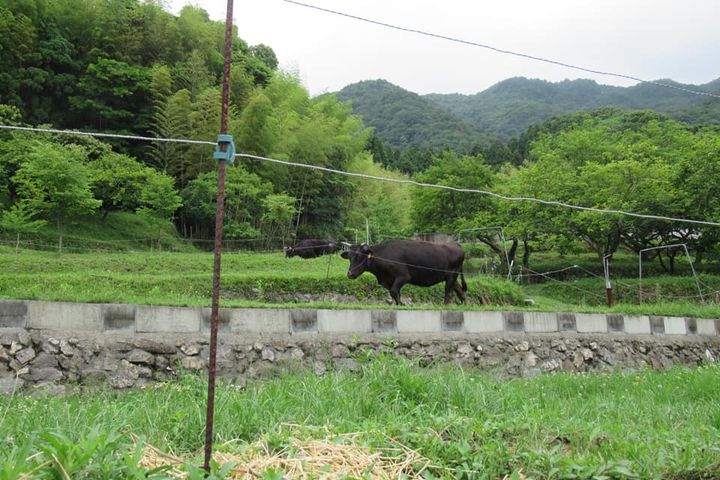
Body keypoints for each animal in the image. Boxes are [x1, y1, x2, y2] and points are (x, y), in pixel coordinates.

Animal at [342, 239, 470, 304]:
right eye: (349, 257)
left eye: (359, 256)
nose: (350, 274)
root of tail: (456, 244)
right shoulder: (388, 281)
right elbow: (395, 294)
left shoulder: (404, 276)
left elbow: (394, 292)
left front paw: (401, 304)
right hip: (451, 277)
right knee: (460, 292)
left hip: (451, 276)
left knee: (449, 293)